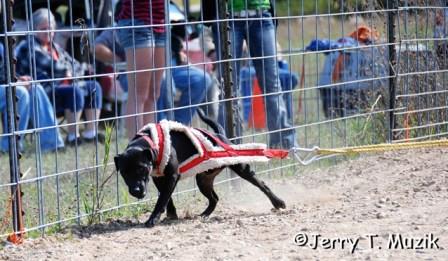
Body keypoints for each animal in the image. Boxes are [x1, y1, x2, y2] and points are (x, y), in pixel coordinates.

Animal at [114, 109, 286, 225]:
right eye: (124, 173)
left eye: (141, 168)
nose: (136, 190)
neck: (150, 141)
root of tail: (219, 135)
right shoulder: (159, 178)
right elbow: (167, 198)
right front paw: (171, 214)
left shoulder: (171, 176)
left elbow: (162, 199)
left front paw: (153, 218)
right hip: (203, 179)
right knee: (214, 199)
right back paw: (204, 215)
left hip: (240, 166)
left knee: (262, 185)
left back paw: (278, 202)